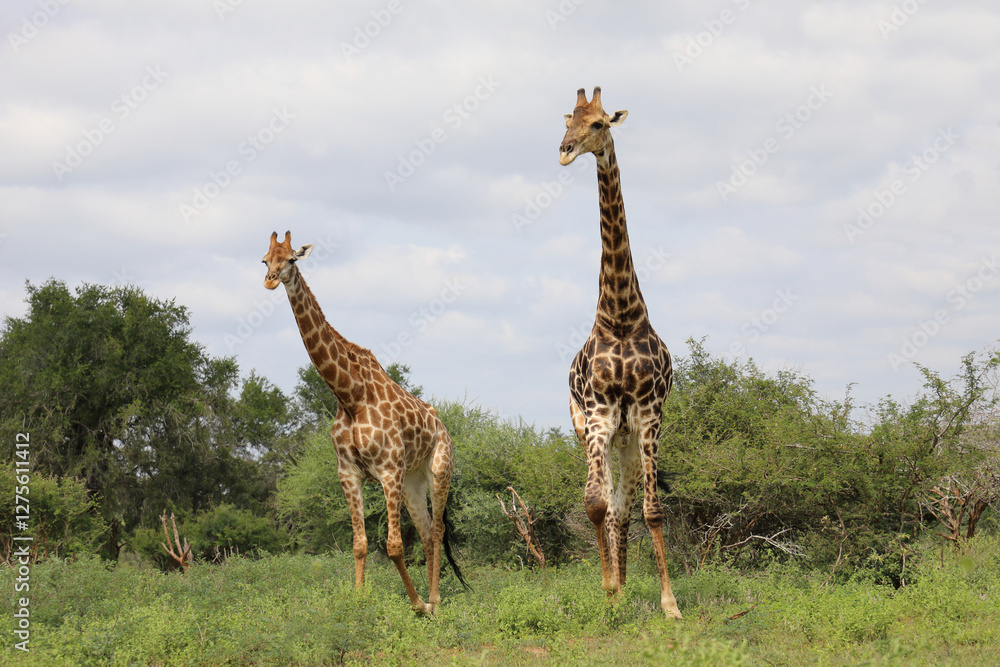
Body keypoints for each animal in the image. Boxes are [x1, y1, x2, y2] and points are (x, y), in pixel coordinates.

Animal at [262, 231, 464, 614]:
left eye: (292, 259)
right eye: (265, 259)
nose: (269, 280)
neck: (350, 394)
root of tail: (442, 426)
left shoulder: (388, 470)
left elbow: (394, 546)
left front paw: (416, 604)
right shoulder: (348, 472)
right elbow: (359, 543)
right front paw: (357, 600)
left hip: (439, 469)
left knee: (438, 531)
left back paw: (434, 601)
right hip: (413, 481)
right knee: (428, 532)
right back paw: (433, 600)